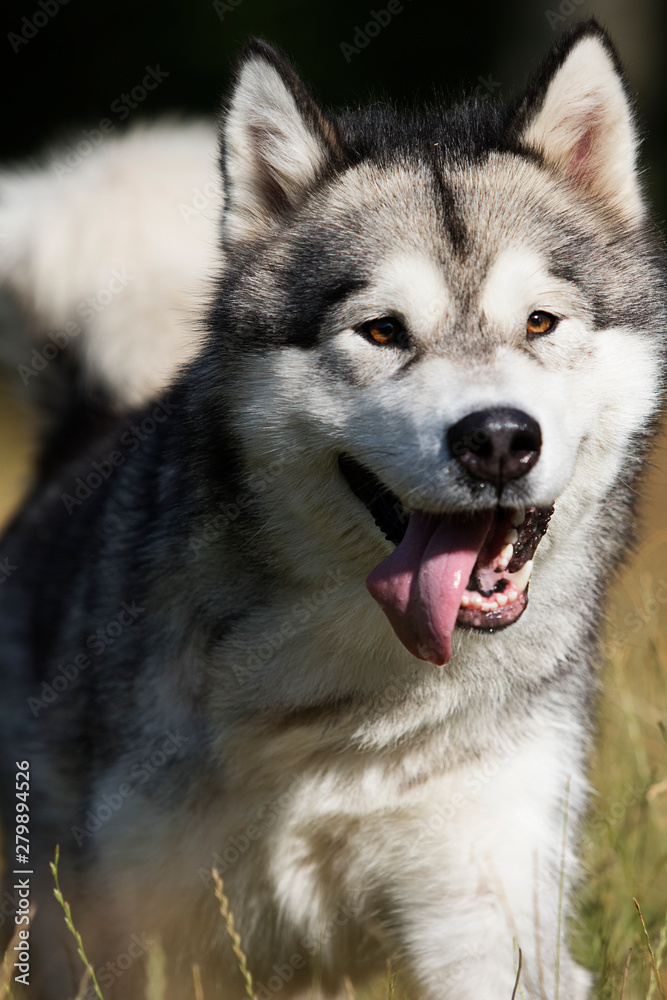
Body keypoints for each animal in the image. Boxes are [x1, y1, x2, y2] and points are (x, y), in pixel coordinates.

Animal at [0, 19, 664, 996]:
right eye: (382, 330)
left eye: (539, 323)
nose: (498, 440)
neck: (355, 708)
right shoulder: (141, 932)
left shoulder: (488, 904)